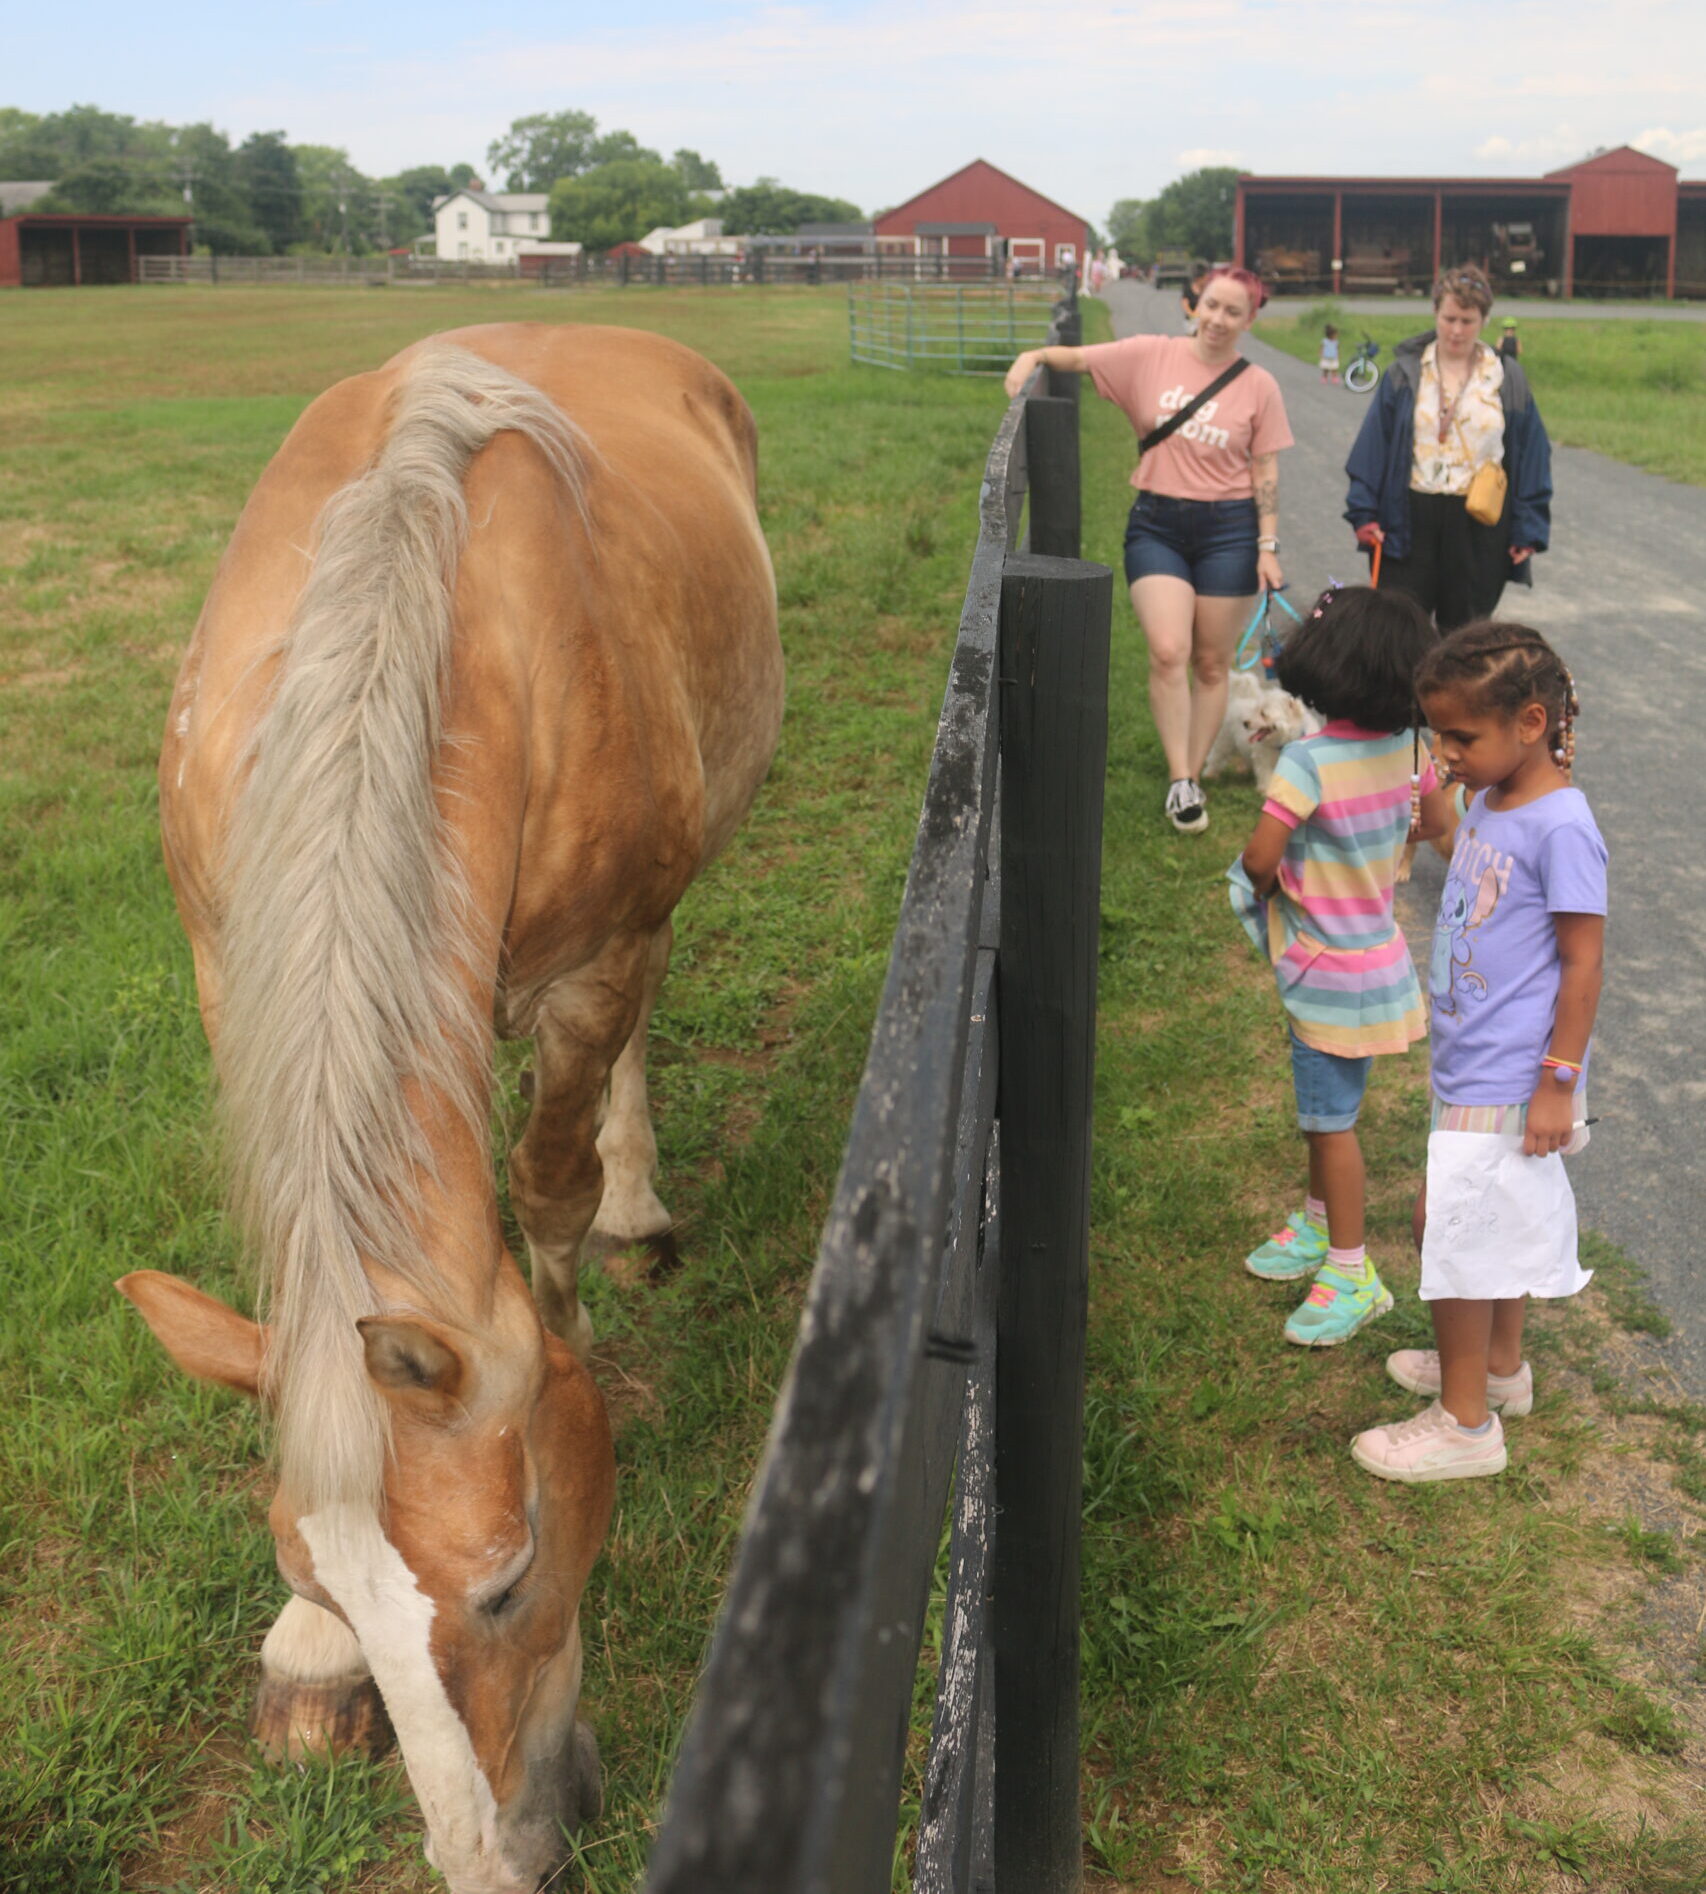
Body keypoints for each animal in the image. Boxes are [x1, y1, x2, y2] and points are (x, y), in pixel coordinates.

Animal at [119, 325, 783, 1894]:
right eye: (305, 1573)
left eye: (511, 1578)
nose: (493, 1858)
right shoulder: (237, 973)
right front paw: (306, 1659)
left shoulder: (591, 966)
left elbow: (543, 1194)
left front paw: (580, 1326)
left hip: (639, 923)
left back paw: (639, 1200)